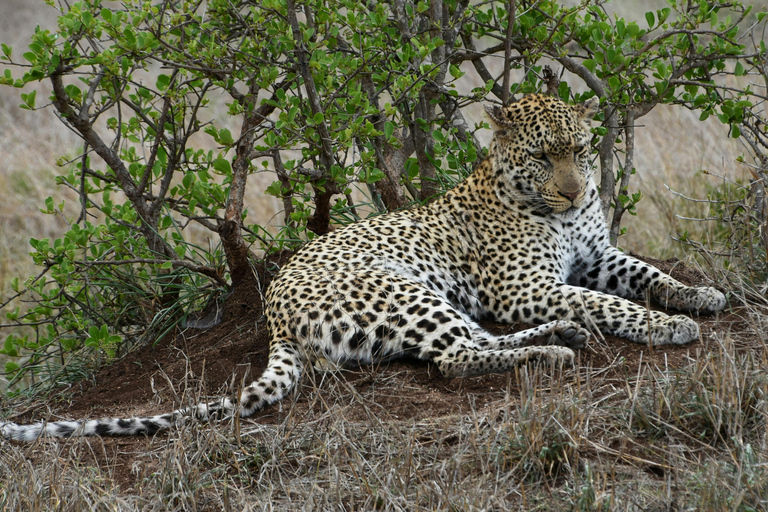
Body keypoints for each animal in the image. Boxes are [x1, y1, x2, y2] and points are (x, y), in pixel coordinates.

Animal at [1, 94, 726, 441]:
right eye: (544, 156)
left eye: (578, 149)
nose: (575, 192)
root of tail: (274, 313)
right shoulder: (528, 287)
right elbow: (610, 301)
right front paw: (666, 327)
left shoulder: (597, 255)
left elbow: (645, 276)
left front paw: (699, 295)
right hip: (403, 290)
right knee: (456, 358)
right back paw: (554, 352)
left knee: (471, 344)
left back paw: (562, 339)